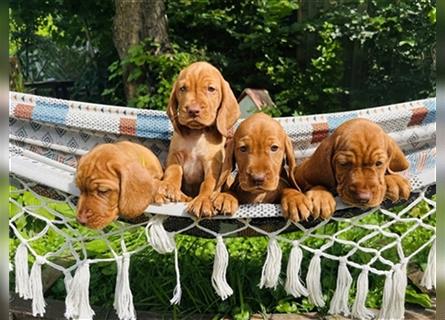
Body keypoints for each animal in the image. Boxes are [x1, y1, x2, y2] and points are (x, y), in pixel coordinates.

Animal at [155, 61, 241, 218]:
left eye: (211, 89)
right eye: (182, 88)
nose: (193, 110)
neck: (197, 133)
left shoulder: (212, 164)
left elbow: (208, 184)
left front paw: (202, 200)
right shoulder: (175, 155)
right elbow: (174, 171)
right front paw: (169, 186)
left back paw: (225, 199)